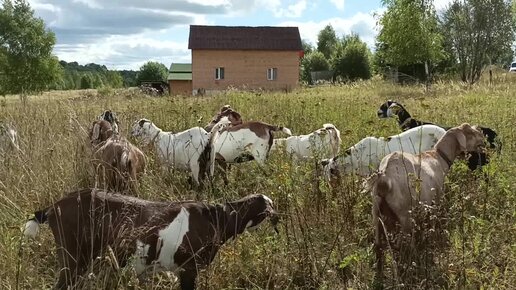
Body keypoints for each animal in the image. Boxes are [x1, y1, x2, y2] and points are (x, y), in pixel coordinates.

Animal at [364, 123, 486, 280]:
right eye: (470, 132)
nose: (481, 131)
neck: (437, 157)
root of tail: (384, 177)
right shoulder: (436, 201)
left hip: (377, 214)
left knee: (378, 245)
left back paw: (380, 275)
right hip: (405, 215)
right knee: (401, 246)